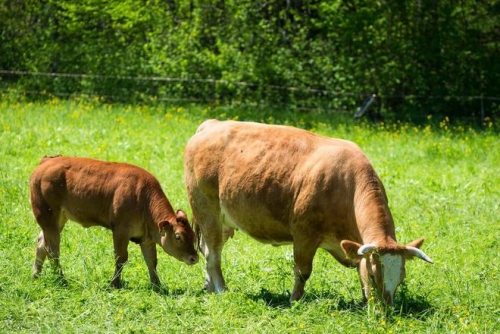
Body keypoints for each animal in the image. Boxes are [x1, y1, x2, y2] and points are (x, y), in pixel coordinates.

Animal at [29, 155, 199, 288]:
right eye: (178, 236)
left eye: (193, 236)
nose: (194, 258)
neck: (143, 198)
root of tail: (46, 162)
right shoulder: (120, 231)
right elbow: (121, 257)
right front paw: (114, 284)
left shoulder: (147, 238)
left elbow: (151, 260)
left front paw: (157, 285)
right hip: (48, 218)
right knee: (52, 249)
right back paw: (61, 280)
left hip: (57, 221)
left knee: (41, 244)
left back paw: (35, 277)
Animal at [185, 119, 434, 306]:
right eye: (374, 276)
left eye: (401, 277)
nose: (386, 310)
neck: (346, 186)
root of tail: (212, 124)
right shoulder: (304, 234)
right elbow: (302, 271)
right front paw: (294, 300)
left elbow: (357, 266)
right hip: (206, 209)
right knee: (213, 253)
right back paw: (221, 289)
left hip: (223, 221)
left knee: (207, 248)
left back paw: (209, 286)